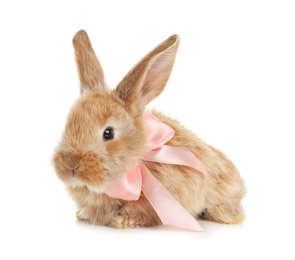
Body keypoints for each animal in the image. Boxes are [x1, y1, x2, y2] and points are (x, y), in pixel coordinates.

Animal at [52, 30, 247, 230]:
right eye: (68, 123)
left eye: (108, 133)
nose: (70, 162)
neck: (138, 159)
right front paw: (84, 216)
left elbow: (141, 210)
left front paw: (121, 221)